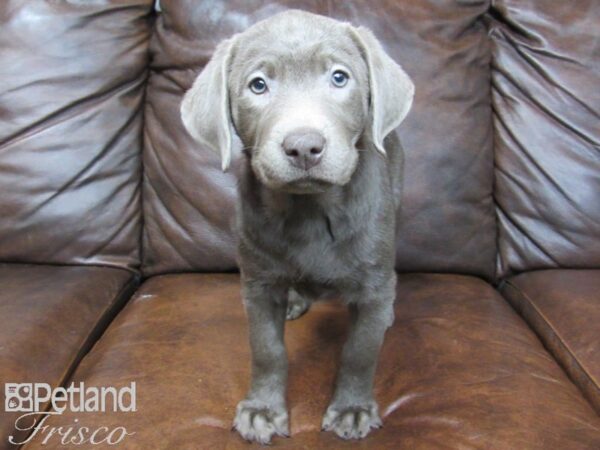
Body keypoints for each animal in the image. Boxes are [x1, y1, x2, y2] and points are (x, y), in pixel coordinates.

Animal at [180, 8, 412, 444]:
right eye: (258, 85)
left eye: (339, 77)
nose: (303, 146)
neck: (309, 212)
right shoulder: (257, 284)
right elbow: (267, 349)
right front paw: (263, 410)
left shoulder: (372, 283)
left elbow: (360, 351)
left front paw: (352, 408)